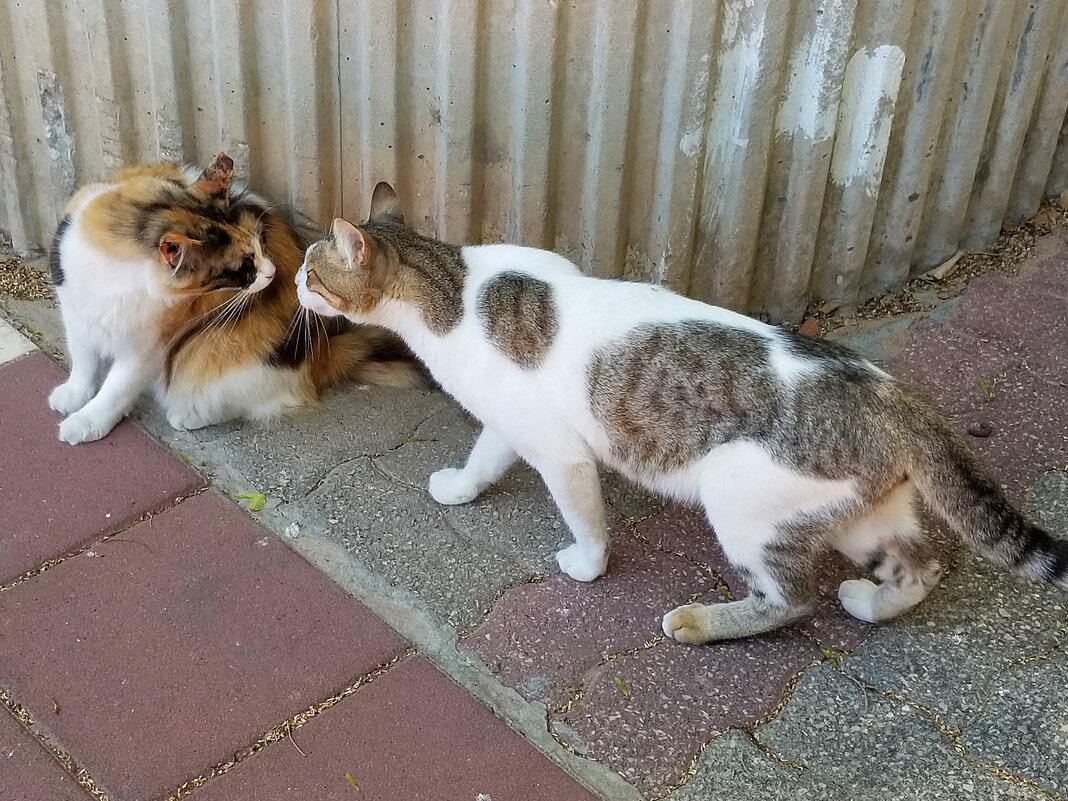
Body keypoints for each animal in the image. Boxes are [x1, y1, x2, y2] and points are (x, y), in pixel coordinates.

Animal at [49, 151, 420, 446]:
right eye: (244, 267)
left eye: (261, 244)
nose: (272, 272)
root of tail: (320, 353)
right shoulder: (76, 313)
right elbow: (83, 361)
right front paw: (74, 394)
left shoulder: (148, 348)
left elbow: (116, 389)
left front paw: (86, 421)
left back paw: (187, 415)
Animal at [294, 183, 1068, 645]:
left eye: (310, 272)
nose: (294, 286)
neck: (452, 289)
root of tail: (890, 395)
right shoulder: (512, 424)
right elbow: (484, 455)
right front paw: (459, 486)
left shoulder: (561, 454)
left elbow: (585, 522)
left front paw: (587, 565)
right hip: (861, 513)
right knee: (922, 564)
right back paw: (871, 602)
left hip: (742, 500)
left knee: (791, 599)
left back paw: (701, 620)